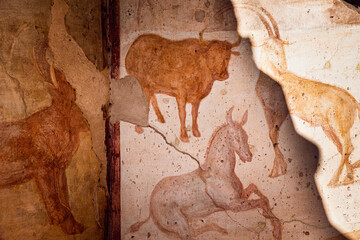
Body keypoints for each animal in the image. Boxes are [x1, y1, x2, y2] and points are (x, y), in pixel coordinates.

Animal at [235, 3, 360, 187]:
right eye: (271, 47)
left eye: (281, 46)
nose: (283, 67)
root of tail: (353, 101)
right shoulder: (267, 109)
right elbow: (271, 135)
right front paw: (276, 171)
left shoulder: (282, 110)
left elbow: (274, 134)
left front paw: (280, 169)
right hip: (327, 128)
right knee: (342, 147)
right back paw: (349, 177)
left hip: (339, 126)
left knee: (347, 147)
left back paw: (333, 180)